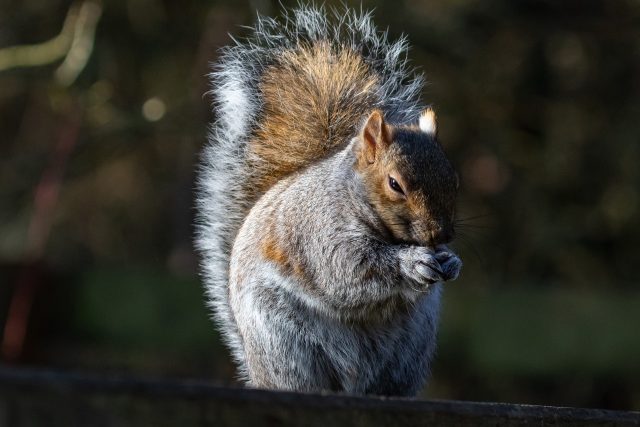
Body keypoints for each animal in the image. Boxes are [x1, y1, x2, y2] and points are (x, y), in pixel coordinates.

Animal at [195, 5, 460, 398]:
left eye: (453, 177)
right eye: (395, 184)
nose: (440, 235)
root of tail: (259, 375)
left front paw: (451, 261)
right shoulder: (321, 231)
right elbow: (349, 268)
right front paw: (412, 262)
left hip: (410, 350)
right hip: (286, 342)